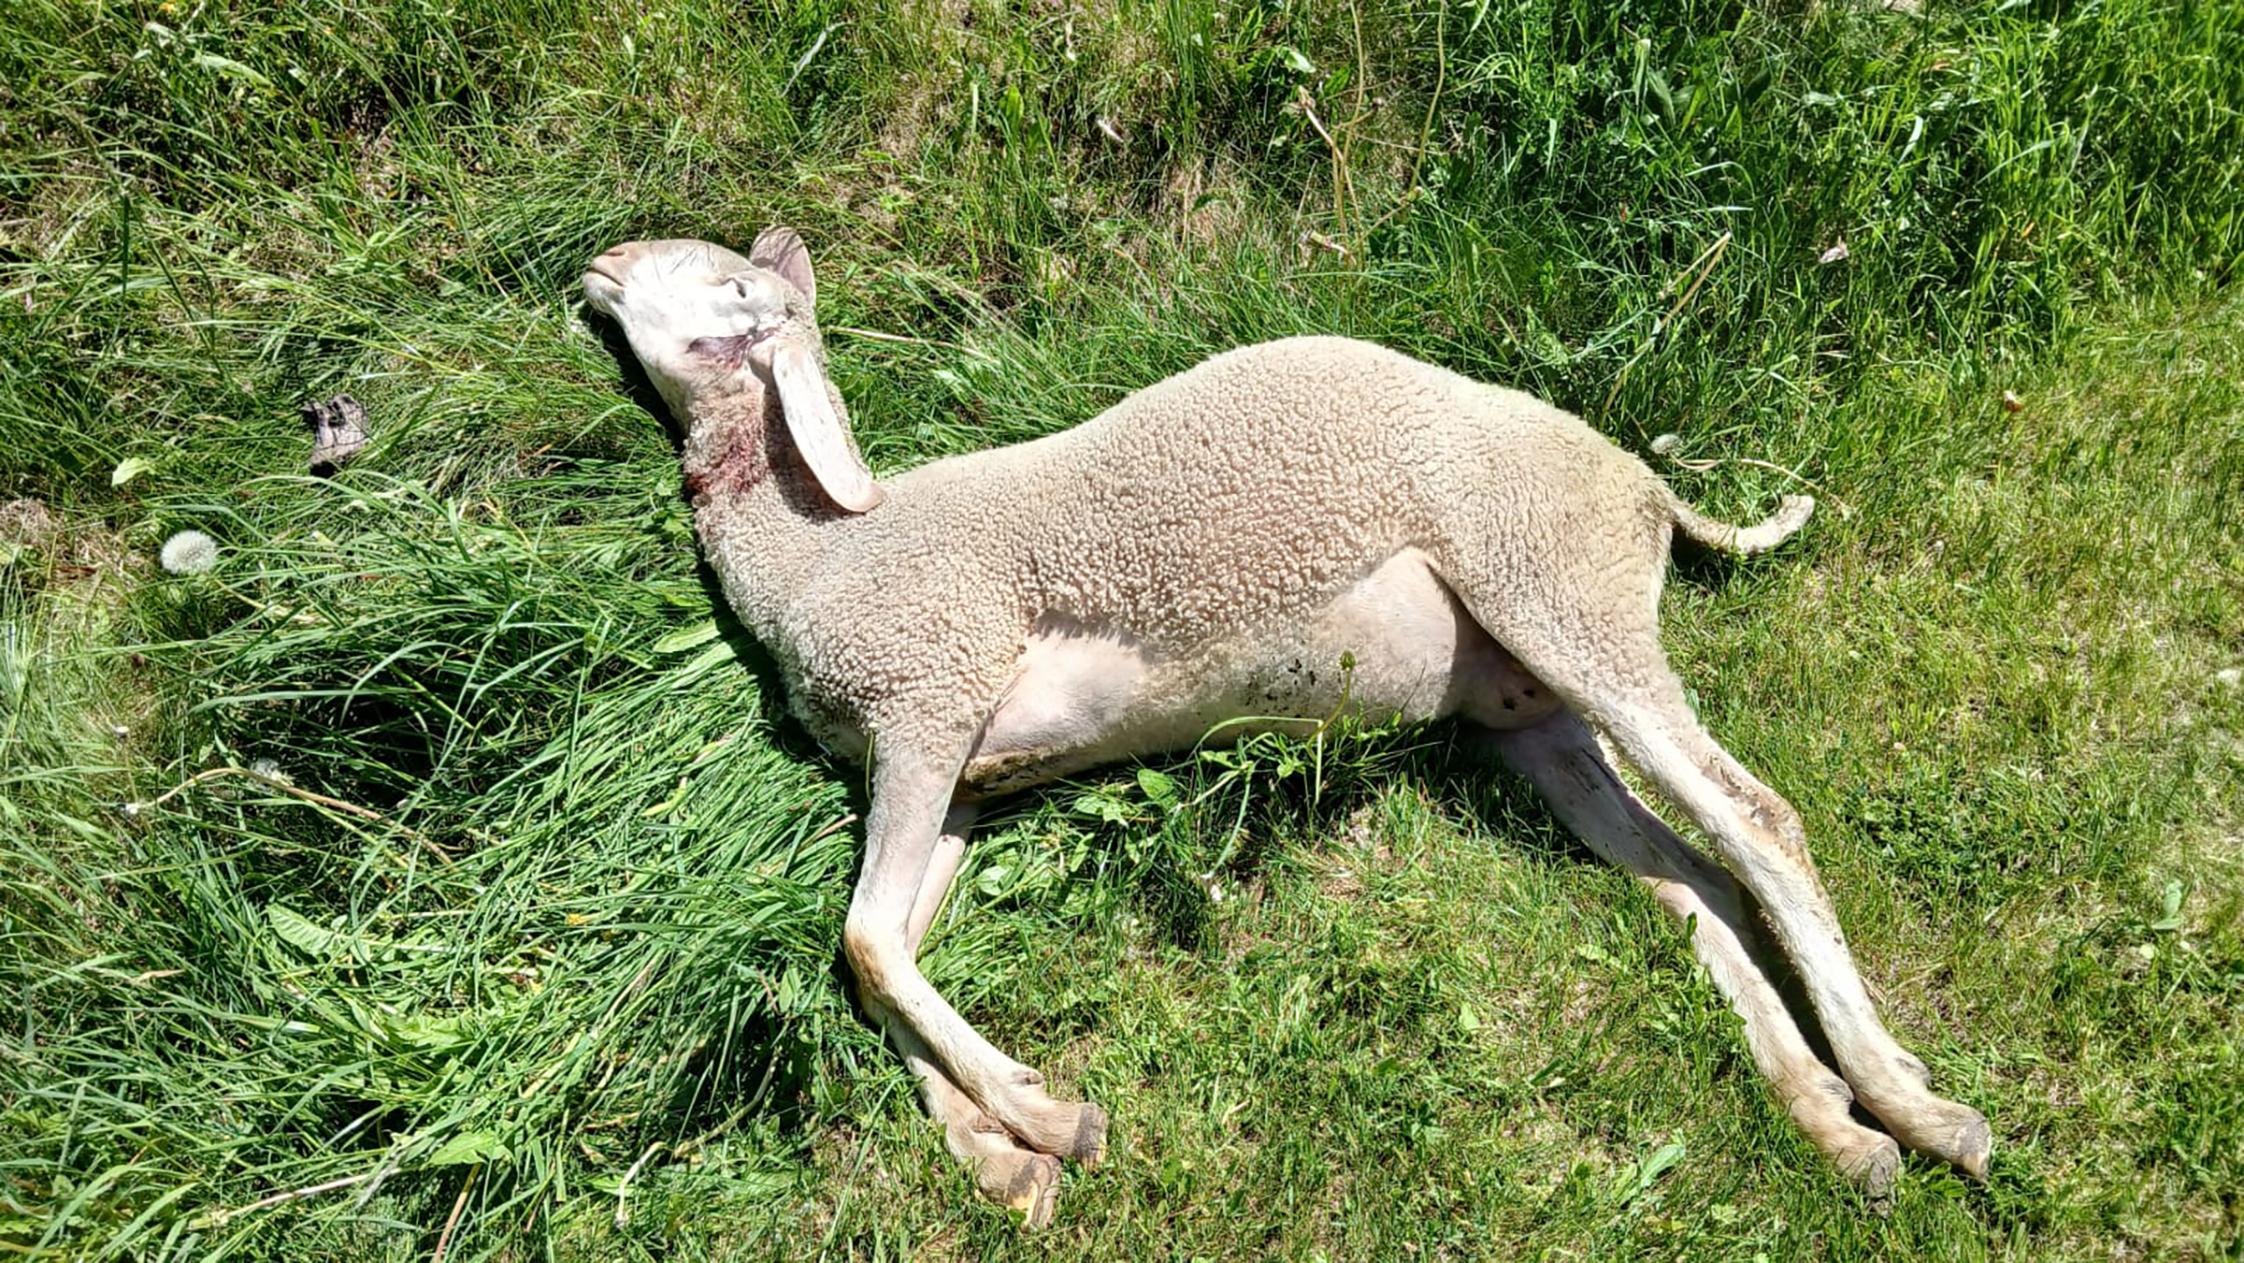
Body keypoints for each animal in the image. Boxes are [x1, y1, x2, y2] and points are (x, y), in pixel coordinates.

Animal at [581, 228, 1990, 1225]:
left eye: (718, 281)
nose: (599, 264)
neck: (821, 552)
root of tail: (1650, 490)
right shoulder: (962, 778)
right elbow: (883, 964)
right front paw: (1006, 1157)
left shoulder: (931, 699)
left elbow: (867, 945)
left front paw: (1050, 1117)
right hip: (1535, 714)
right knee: (1689, 873)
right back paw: (1837, 1129)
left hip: (1561, 590)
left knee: (1759, 820)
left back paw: (1920, 1111)